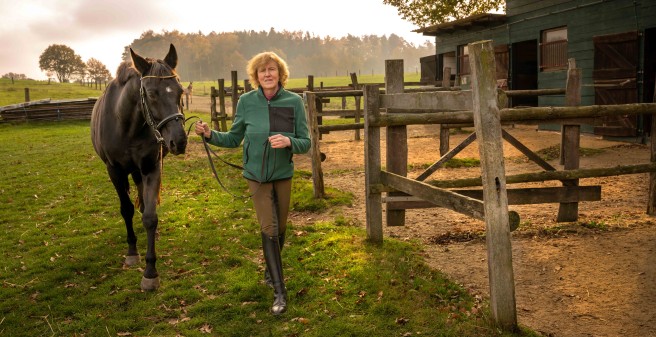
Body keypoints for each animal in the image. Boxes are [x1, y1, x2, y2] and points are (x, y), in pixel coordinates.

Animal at [91, 44, 187, 288]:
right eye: (151, 94)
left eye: (180, 91)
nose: (179, 141)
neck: (127, 126)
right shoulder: (114, 171)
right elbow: (126, 210)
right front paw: (132, 252)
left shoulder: (151, 168)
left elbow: (150, 216)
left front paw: (150, 272)